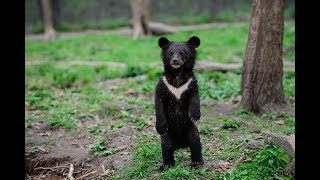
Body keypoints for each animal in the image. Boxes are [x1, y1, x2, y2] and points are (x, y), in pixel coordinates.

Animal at [154, 35, 202, 172]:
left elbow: (195, 98)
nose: (175, 61)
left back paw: (197, 161)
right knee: (166, 148)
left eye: (182, 53)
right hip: (168, 136)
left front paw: (195, 115)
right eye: (171, 53)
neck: (177, 76)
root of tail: (180, 145)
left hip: (191, 129)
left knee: (195, 142)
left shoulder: (191, 84)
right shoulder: (163, 85)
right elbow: (158, 103)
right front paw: (160, 127)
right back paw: (166, 165)